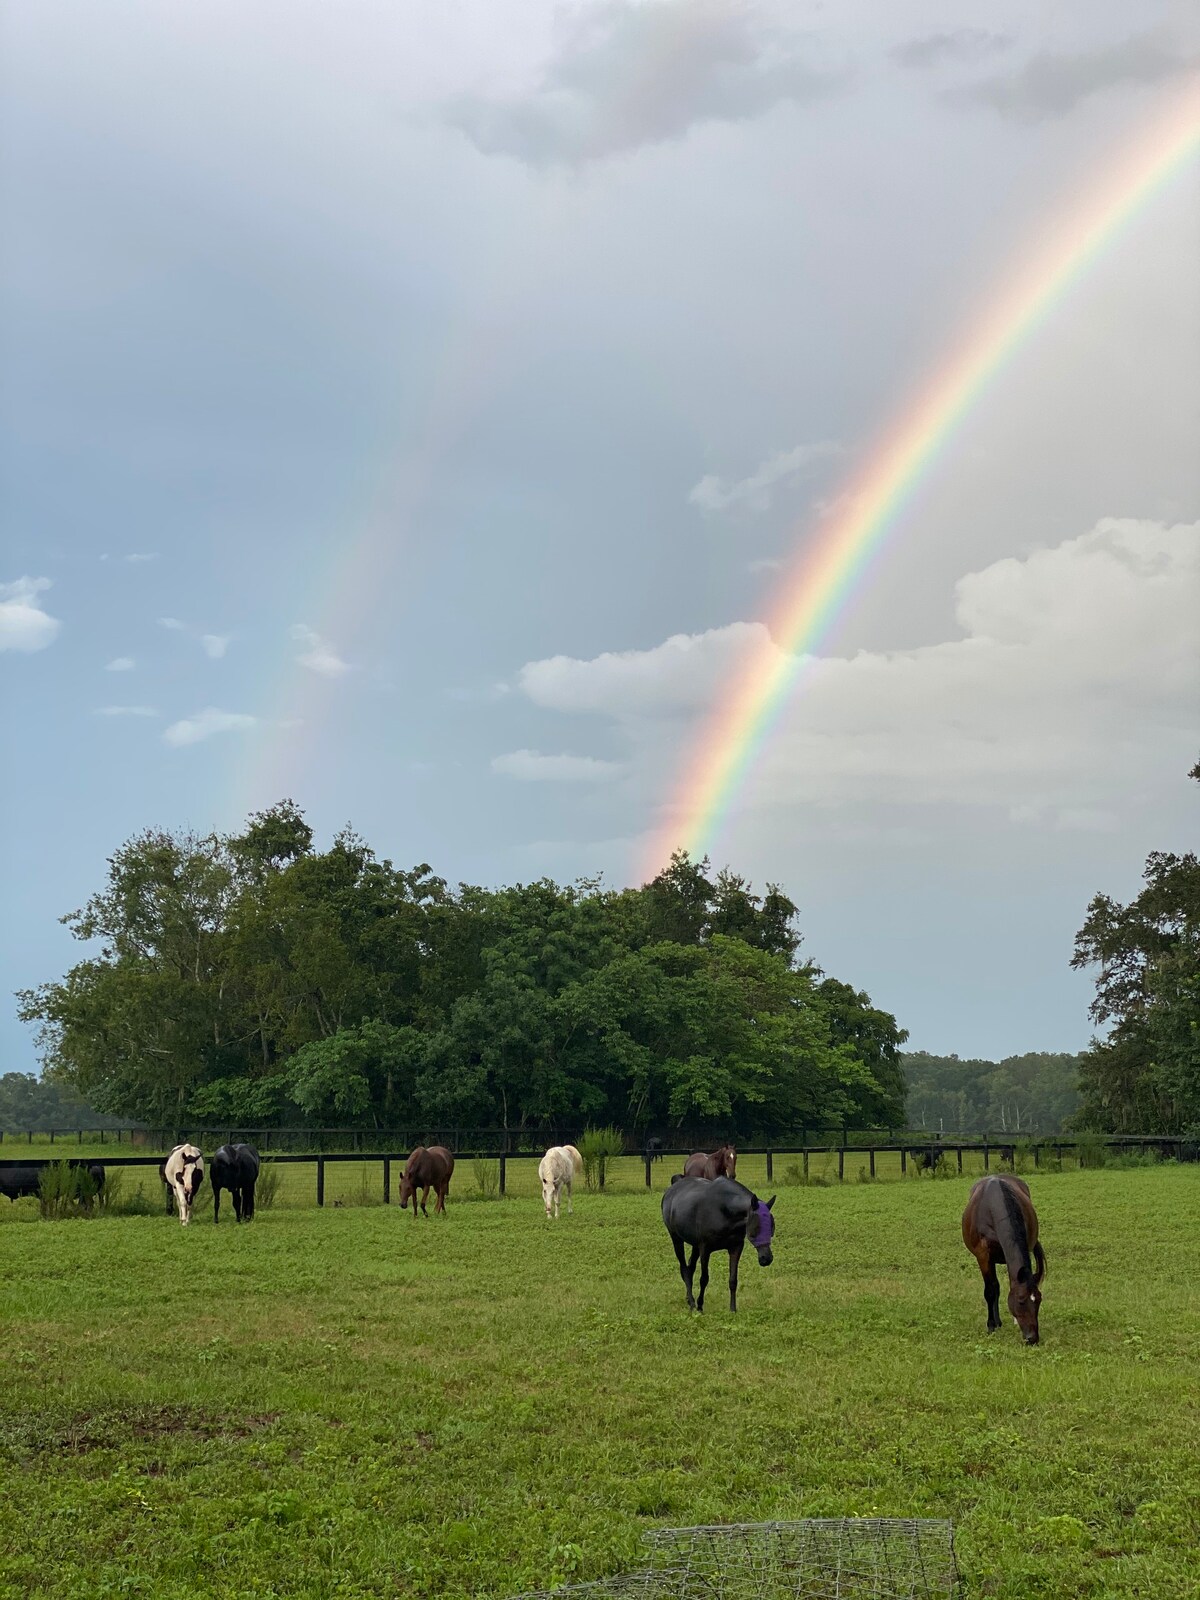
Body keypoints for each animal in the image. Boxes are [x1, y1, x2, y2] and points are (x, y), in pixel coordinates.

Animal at [659, 1177, 780, 1312]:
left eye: (772, 1227)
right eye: (757, 1226)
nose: (766, 1258)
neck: (724, 1209)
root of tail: (671, 1189)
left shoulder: (736, 1248)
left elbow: (733, 1280)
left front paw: (733, 1309)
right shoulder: (705, 1249)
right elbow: (704, 1279)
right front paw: (700, 1306)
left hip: (695, 1245)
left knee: (690, 1268)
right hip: (677, 1239)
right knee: (684, 1269)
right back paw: (692, 1303)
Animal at [966, 1171, 1049, 1344]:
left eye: (1038, 1300)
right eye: (1021, 1300)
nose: (1033, 1338)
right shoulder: (983, 1256)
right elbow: (990, 1290)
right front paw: (991, 1325)